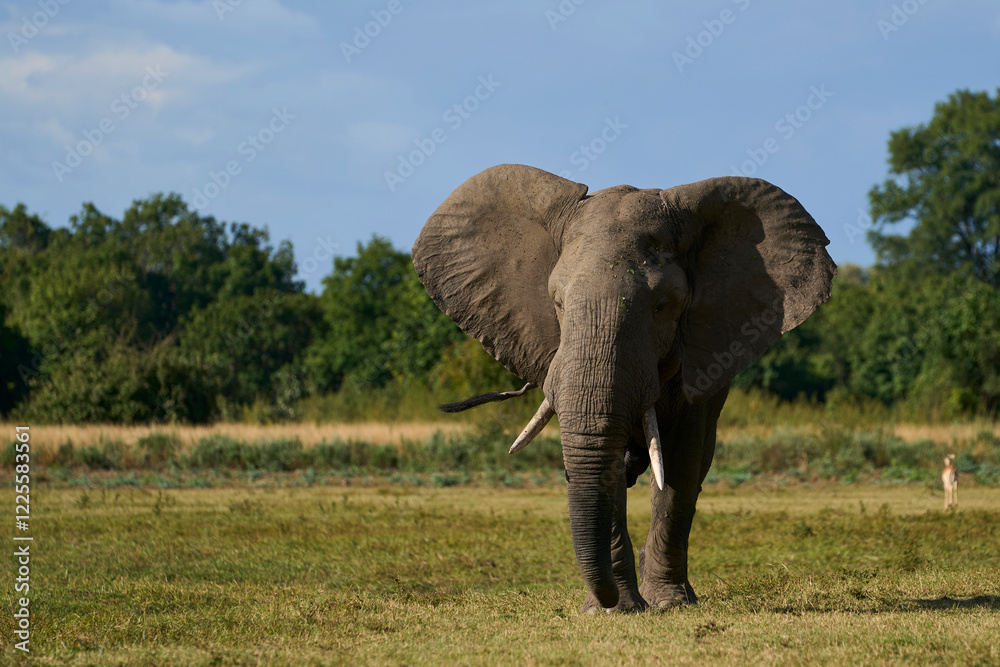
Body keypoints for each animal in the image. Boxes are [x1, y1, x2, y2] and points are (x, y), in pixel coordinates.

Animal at [412, 164, 835, 613]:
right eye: (557, 303)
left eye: (662, 306)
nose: (608, 596)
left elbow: (680, 463)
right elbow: (602, 462)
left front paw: (668, 604)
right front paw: (614, 610)